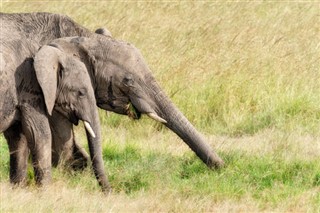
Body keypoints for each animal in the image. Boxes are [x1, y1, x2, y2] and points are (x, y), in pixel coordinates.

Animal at [0, 11, 110, 191]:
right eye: (80, 93)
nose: (108, 192)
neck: (49, 50)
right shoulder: (30, 89)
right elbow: (39, 135)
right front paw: (44, 191)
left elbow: (18, 137)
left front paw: (18, 189)